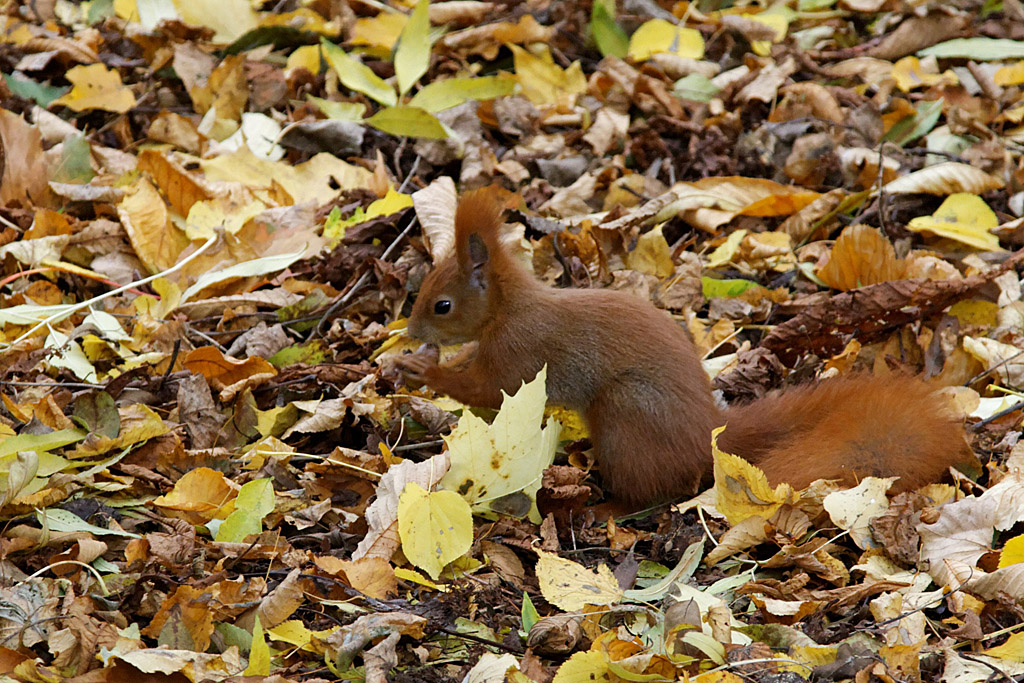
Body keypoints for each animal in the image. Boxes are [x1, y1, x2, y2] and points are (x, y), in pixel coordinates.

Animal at [398, 187, 975, 510]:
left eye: (442, 305)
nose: (411, 332)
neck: (509, 307)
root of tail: (708, 433)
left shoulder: (520, 352)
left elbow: (487, 389)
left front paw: (417, 370)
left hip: (627, 412)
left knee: (650, 490)